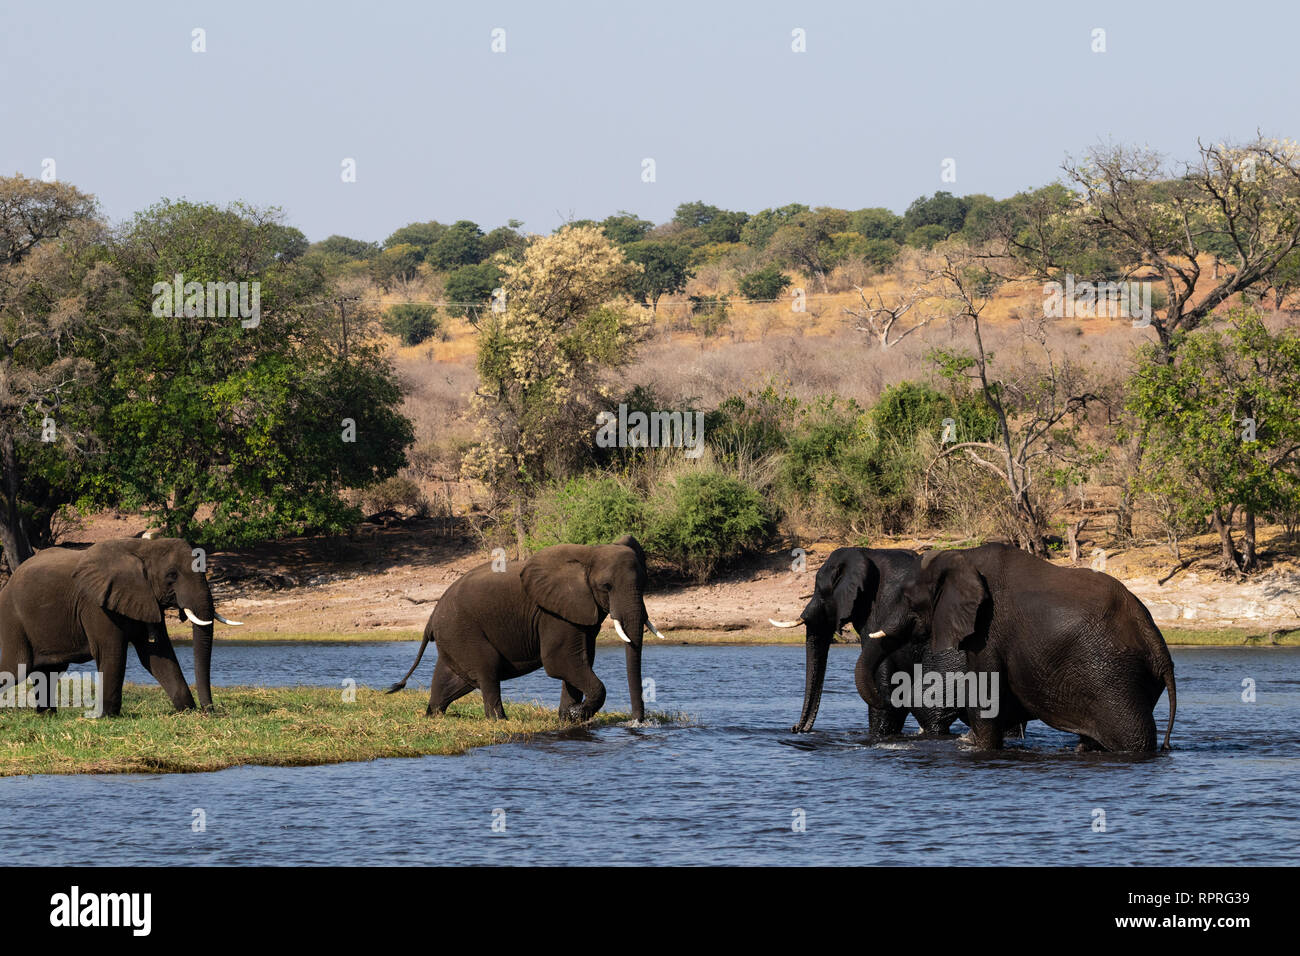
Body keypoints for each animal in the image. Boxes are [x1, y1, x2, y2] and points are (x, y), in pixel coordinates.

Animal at [0, 538, 244, 717]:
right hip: (12, 619)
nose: (210, 711)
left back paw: (47, 715)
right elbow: (112, 651)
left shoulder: (143, 598)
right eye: (172, 575)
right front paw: (107, 716)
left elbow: (157, 654)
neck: (142, 549)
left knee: (49, 672)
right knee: (16, 667)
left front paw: (186, 711)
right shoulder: (96, 604)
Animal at [384, 530, 660, 723]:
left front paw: (567, 718)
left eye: (645, 582)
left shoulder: (579, 611)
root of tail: (431, 618)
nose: (637, 722)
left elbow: (581, 660)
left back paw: (434, 714)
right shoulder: (552, 613)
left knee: (453, 679)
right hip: (461, 629)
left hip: (453, 635)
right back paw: (500, 720)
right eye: (606, 587)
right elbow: (561, 662)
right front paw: (576, 714)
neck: (589, 554)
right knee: (487, 670)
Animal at [904, 541, 1180, 749]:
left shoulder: (989, 629)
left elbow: (985, 696)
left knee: (1134, 737)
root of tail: (1157, 642)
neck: (963, 556)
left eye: (909, 600)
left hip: (1114, 676)